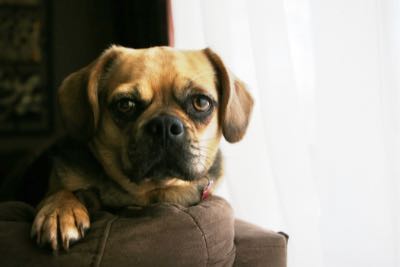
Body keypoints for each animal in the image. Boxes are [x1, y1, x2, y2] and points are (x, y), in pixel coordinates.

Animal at [31, 45, 253, 251]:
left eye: (201, 102)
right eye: (125, 104)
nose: (164, 125)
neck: (151, 192)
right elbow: (61, 192)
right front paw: (60, 211)